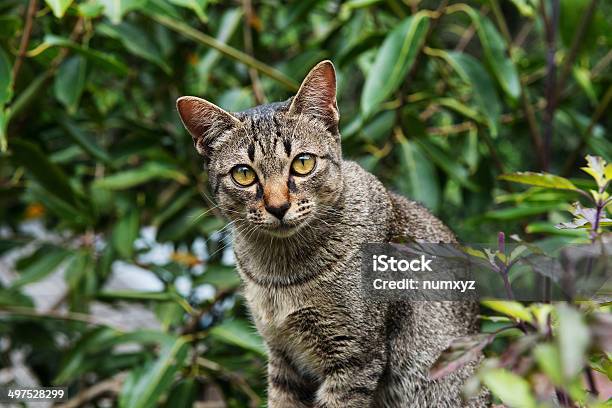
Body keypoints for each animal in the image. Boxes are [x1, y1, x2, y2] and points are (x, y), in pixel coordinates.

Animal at [176, 60, 488, 408]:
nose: (277, 206)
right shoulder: (282, 357)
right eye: (243, 174)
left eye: (303, 163)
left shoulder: (354, 357)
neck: (281, 273)